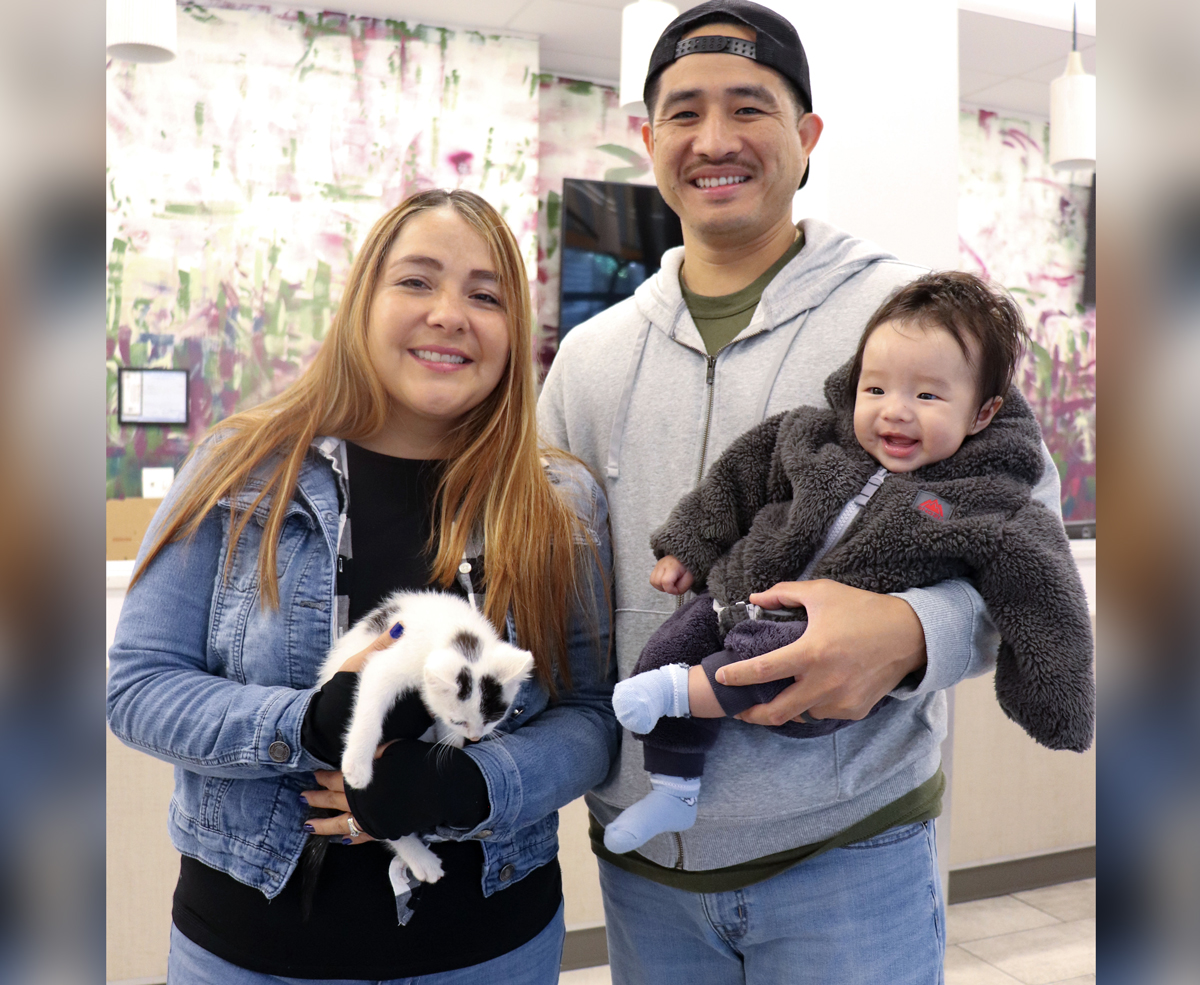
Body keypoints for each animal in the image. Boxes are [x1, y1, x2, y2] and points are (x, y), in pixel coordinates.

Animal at [316, 587, 532, 897]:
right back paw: (420, 859)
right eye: (460, 720)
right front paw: (357, 767)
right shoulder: (391, 659)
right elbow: (371, 698)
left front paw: (450, 754)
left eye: (494, 717)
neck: (453, 629)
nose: (475, 737)